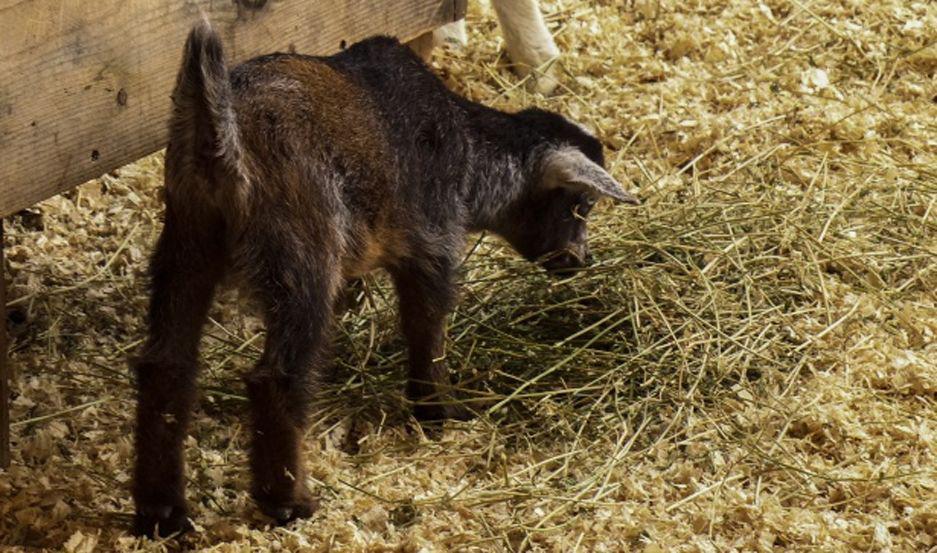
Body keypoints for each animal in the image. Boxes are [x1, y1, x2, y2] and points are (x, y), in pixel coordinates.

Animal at [133, 20, 636, 536]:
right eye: (582, 203)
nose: (581, 260)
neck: (468, 149)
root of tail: (220, 137)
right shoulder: (433, 244)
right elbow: (427, 330)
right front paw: (439, 412)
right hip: (302, 256)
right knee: (276, 378)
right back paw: (287, 501)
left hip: (187, 245)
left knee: (165, 366)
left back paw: (163, 511)